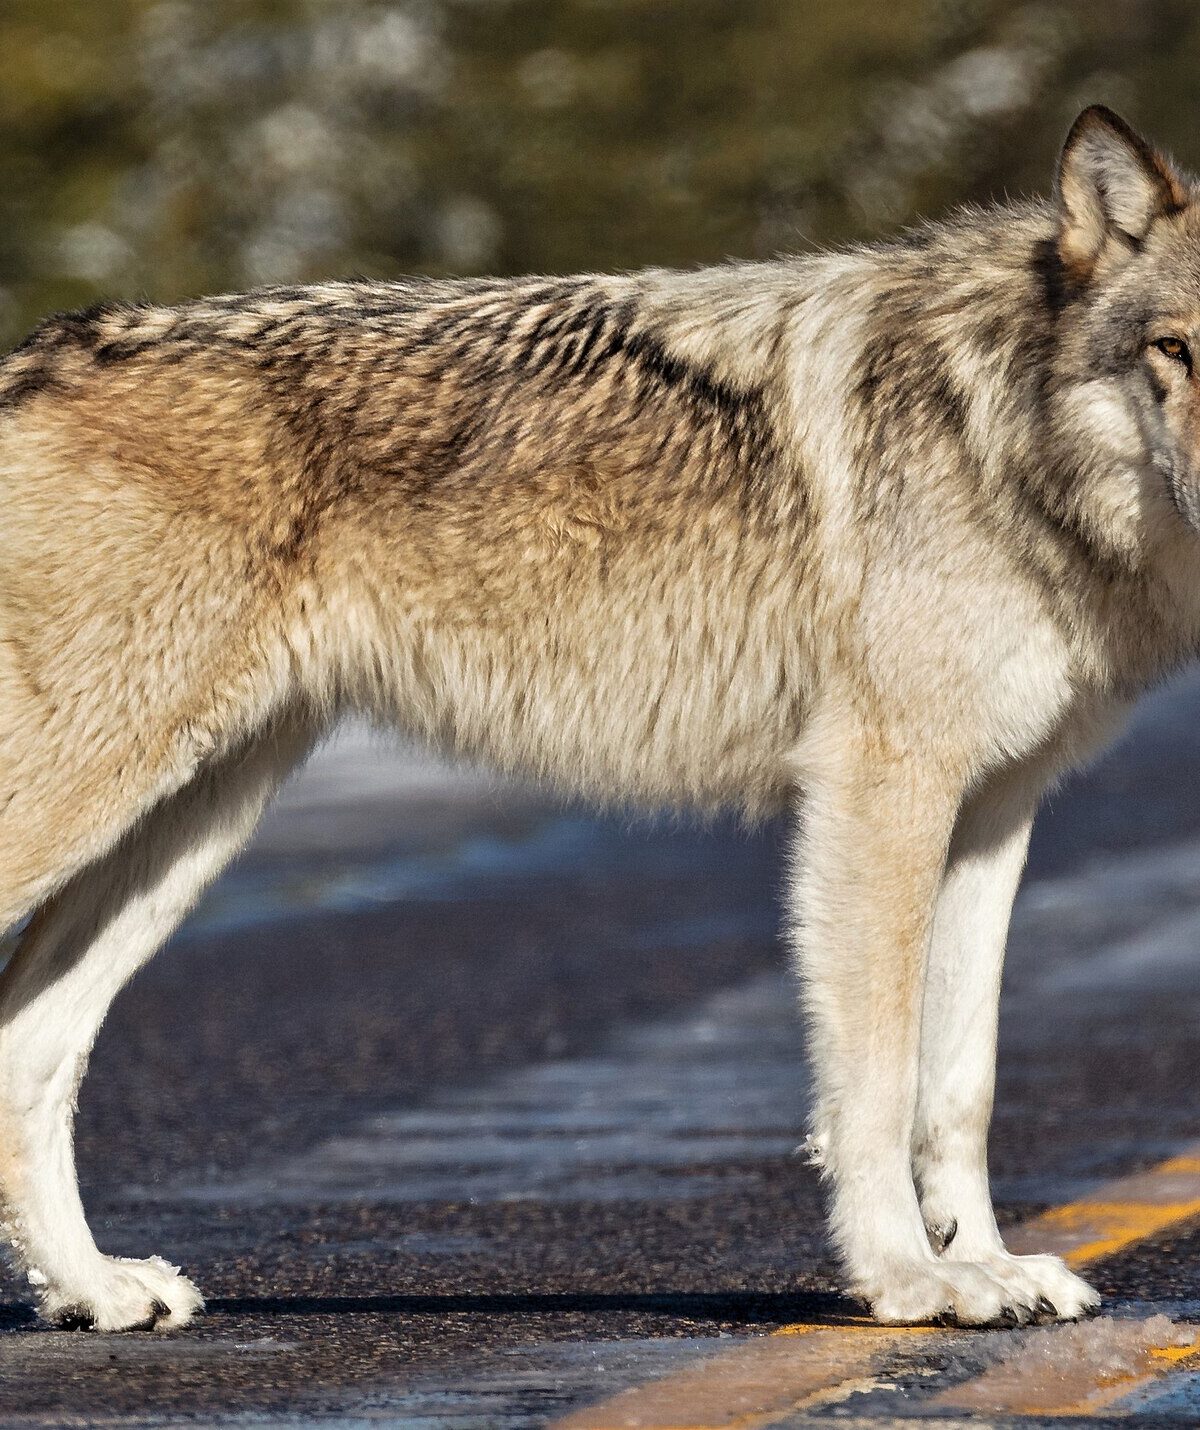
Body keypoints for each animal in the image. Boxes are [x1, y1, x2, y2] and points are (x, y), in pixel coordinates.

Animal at [0, 103, 1194, 1332]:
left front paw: (987, 1264)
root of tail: (42, 347)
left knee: (29, 1049)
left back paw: (96, 1287)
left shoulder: (992, 810)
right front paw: (908, 1279)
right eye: (1175, 348)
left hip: (193, 826)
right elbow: (875, 1080)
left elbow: (960, 1082)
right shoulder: (879, 794)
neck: (1006, 432)